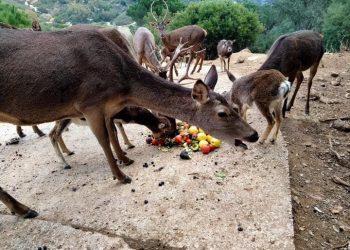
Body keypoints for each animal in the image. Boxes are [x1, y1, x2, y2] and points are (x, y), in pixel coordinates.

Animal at [0, 28, 258, 218]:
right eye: (222, 113)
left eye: (234, 107)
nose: (253, 134)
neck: (122, 86)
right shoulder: (90, 103)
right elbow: (105, 140)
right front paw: (121, 175)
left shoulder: (107, 109)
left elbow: (113, 134)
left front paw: (125, 158)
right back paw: (24, 208)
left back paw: (21, 206)